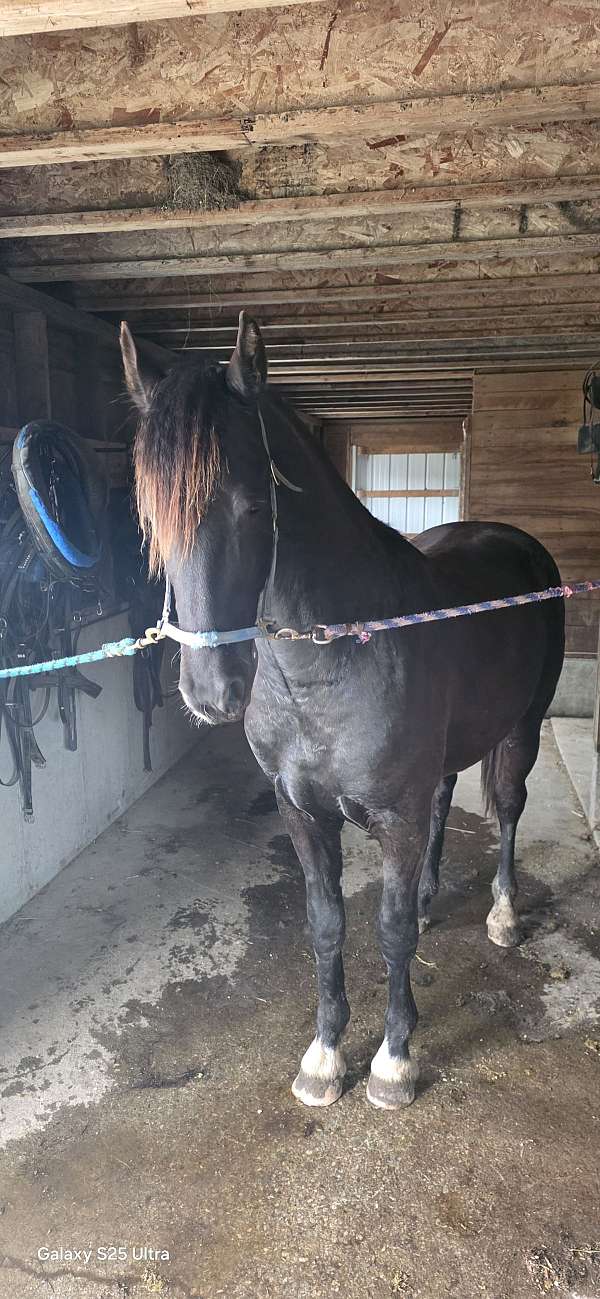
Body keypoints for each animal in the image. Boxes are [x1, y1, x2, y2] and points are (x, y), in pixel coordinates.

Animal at [120, 312, 565, 1111]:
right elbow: (327, 925)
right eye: (151, 518)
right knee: (447, 799)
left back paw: (503, 914)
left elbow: (388, 934)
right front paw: (324, 1056)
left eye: (252, 505)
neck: (324, 670)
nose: (212, 692)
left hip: (522, 729)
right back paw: (430, 897)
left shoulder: (393, 815)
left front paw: (394, 1060)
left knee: (509, 809)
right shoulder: (301, 811)